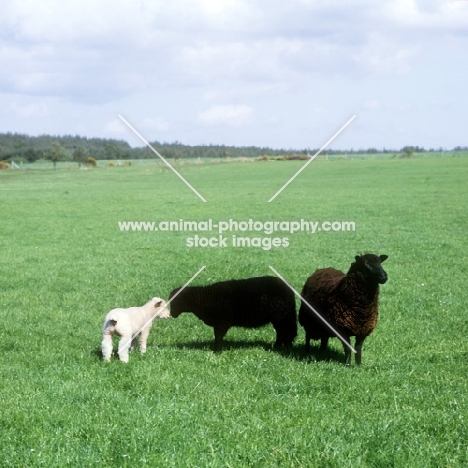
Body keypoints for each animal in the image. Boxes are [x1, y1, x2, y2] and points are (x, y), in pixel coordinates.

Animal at [168, 276, 296, 352]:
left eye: (175, 302)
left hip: (280, 316)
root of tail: (288, 289)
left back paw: (280, 347)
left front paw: (217, 351)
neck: (205, 299)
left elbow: (218, 336)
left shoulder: (222, 321)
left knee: (284, 331)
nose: (171, 314)